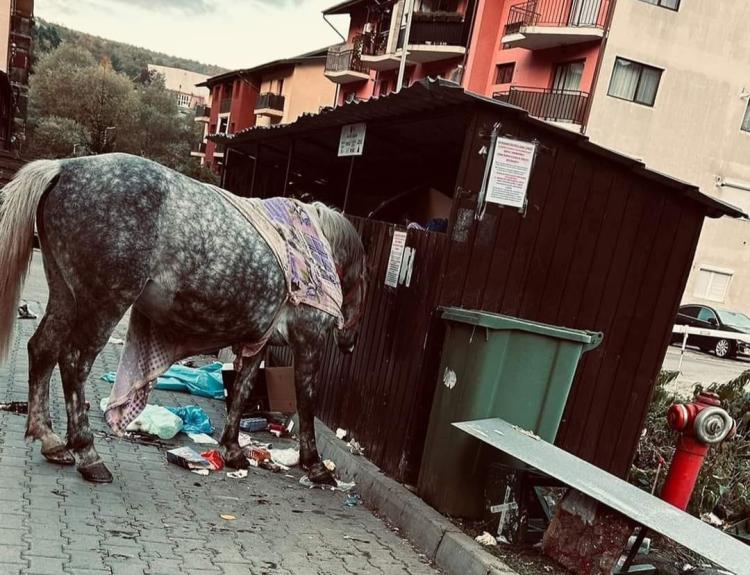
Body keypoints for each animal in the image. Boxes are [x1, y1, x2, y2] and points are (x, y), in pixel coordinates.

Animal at [0, 153, 367, 484]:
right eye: (361, 282)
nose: (350, 343)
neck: (314, 245)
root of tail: (64, 167)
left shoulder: (258, 343)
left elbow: (243, 389)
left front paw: (233, 450)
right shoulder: (309, 340)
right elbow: (306, 401)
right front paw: (314, 464)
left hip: (65, 293)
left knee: (43, 349)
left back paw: (50, 440)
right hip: (104, 304)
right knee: (74, 362)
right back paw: (88, 454)